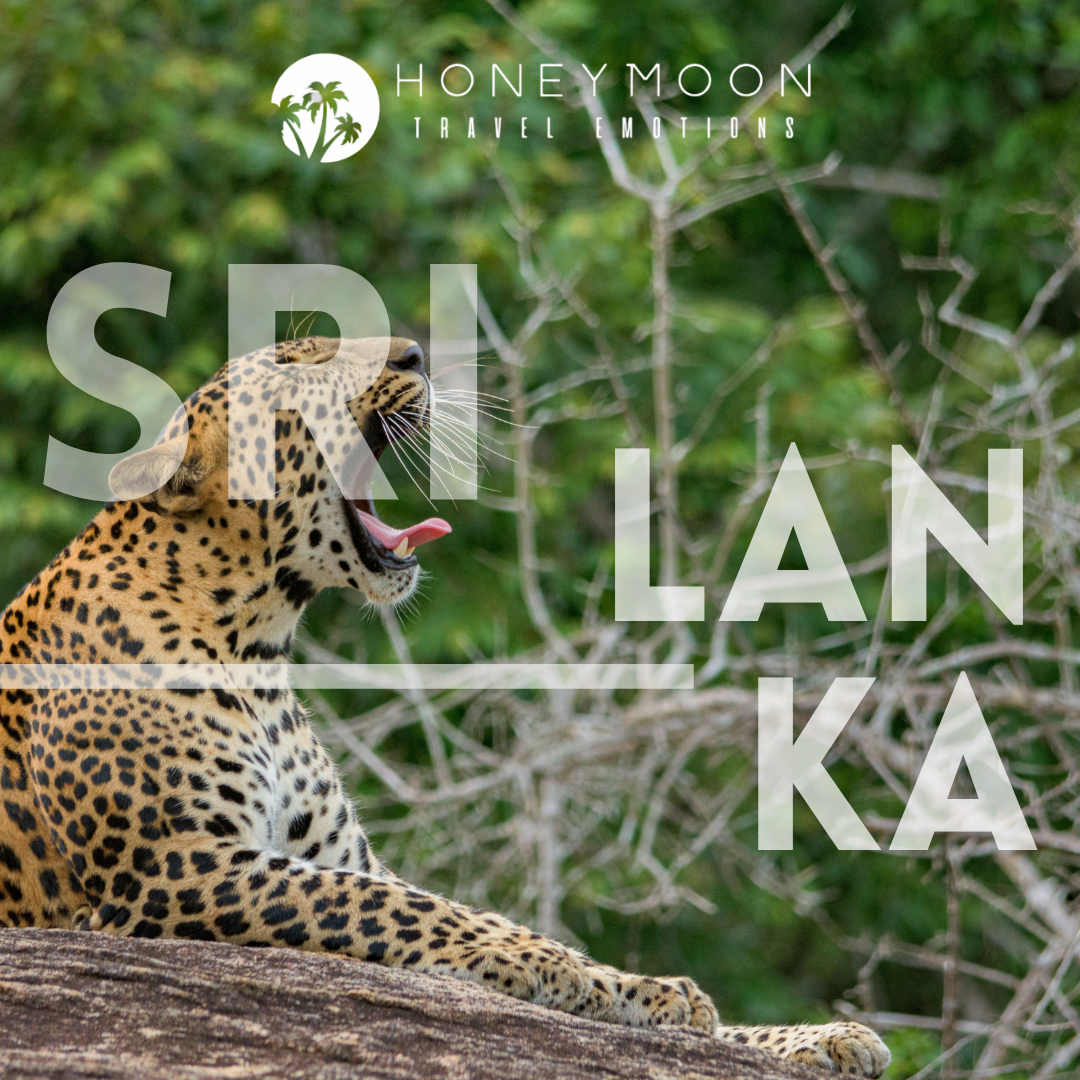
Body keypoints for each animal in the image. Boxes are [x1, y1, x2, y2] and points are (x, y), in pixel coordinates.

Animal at [0, 334, 890, 1076]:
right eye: (299, 365)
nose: (415, 352)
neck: (257, 645)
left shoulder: (327, 854)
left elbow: (419, 900)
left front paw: (777, 1026)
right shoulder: (174, 867)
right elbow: (415, 908)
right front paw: (567, 972)